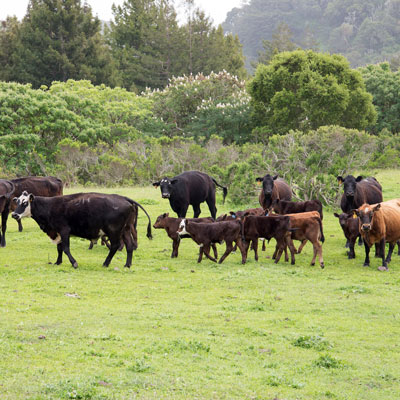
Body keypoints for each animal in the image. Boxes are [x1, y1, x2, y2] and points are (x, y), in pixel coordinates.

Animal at [11, 191, 152, 268]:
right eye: (17, 202)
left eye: (25, 203)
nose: (14, 215)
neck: (50, 207)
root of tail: (124, 198)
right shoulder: (58, 232)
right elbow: (59, 248)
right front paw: (58, 262)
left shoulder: (64, 230)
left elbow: (65, 248)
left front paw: (74, 263)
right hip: (125, 230)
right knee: (129, 246)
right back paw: (127, 264)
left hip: (114, 231)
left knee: (115, 246)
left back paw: (106, 263)